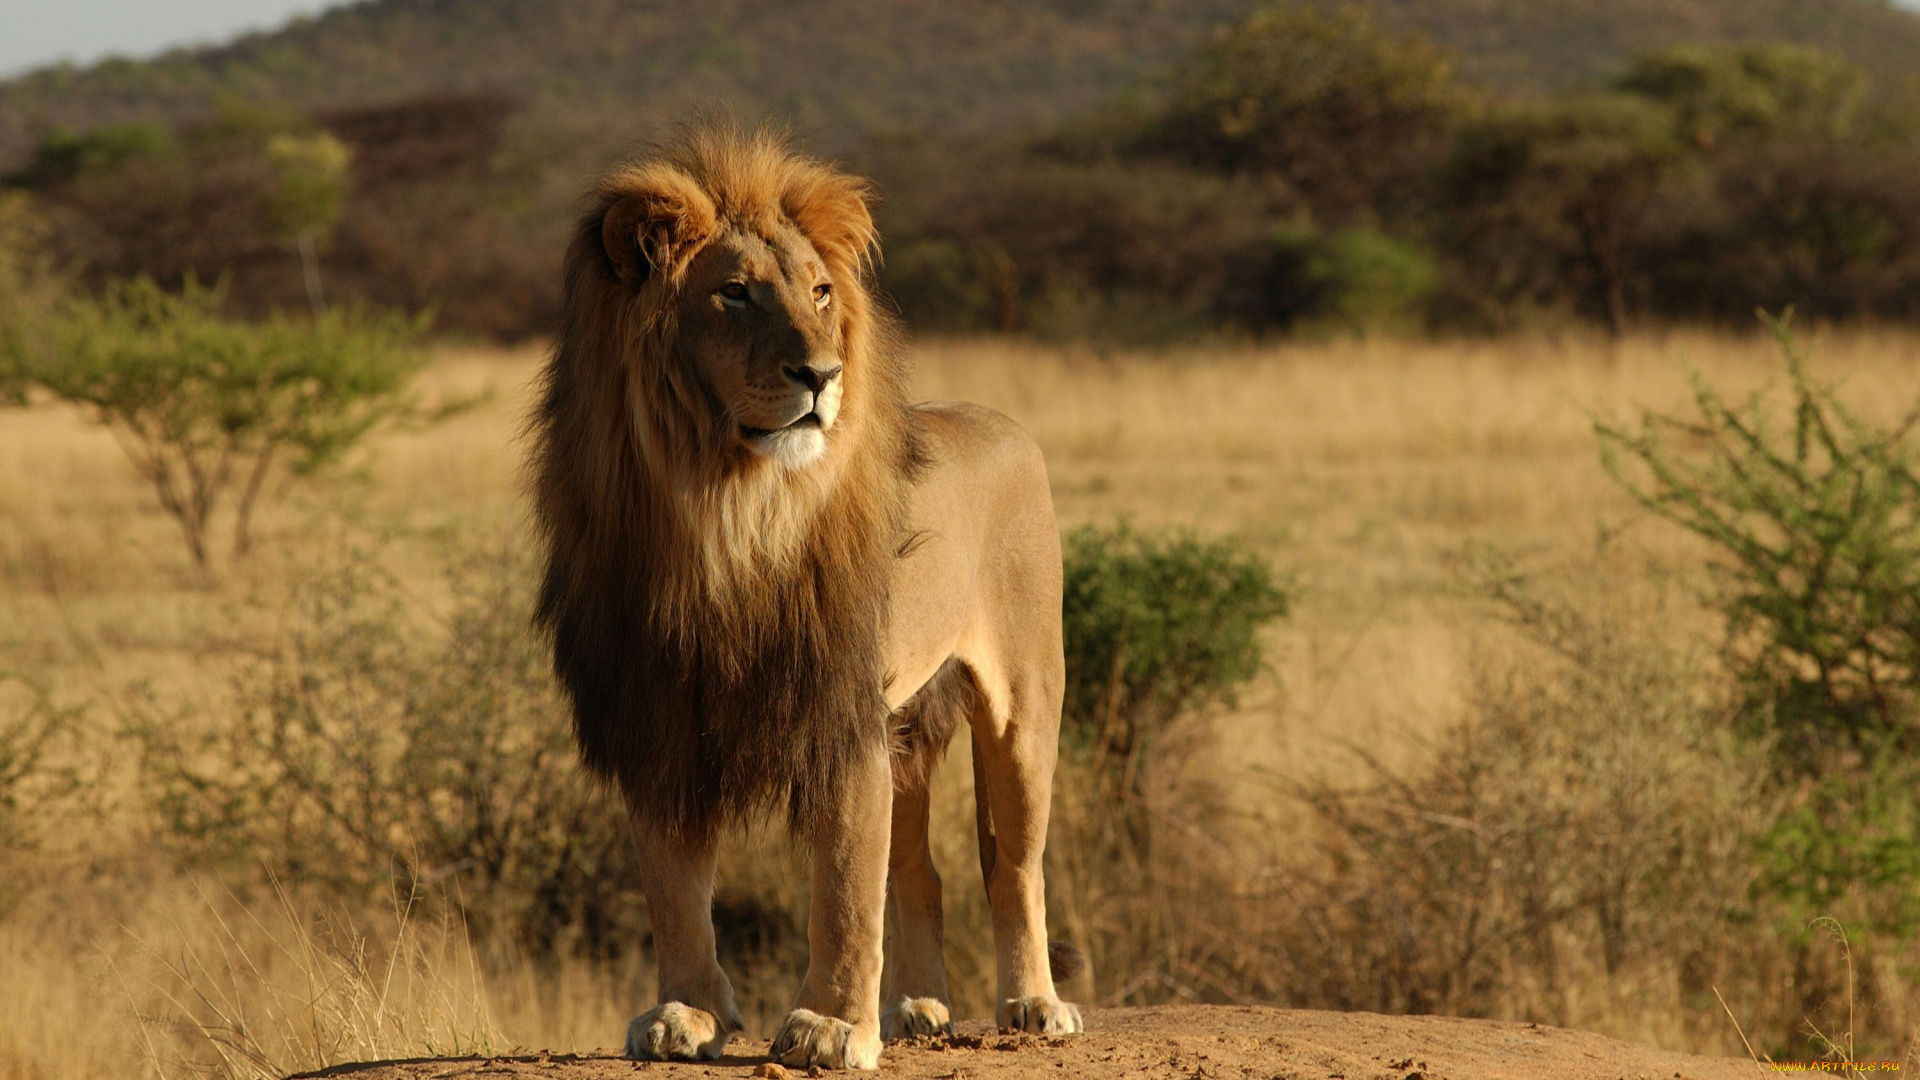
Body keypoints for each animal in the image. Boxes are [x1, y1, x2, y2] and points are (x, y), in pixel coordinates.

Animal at [529, 126, 1082, 1071]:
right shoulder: (659, 715)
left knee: (1013, 865)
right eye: (735, 294)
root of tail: (1003, 423)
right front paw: (687, 1014)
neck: (725, 511)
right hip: (908, 727)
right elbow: (674, 887)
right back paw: (917, 1008)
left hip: (1024, 705)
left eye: (821, 293)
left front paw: (829, 1026)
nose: (821, 374)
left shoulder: (839, 712)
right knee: (921, 870)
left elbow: (845, 887)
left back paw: (1033, 1004)